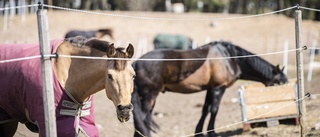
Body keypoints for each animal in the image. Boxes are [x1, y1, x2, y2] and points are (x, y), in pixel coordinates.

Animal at [131, 40, 288, 137]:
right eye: (280, 83)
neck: (229, 57)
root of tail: (136, 63)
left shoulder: (209, 88)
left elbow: (205, 109)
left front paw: (199, 132)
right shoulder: (219, 88)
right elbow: (214, 110)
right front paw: (212, 132)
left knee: (143, 118)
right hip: (150, 96)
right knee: (142, 117)